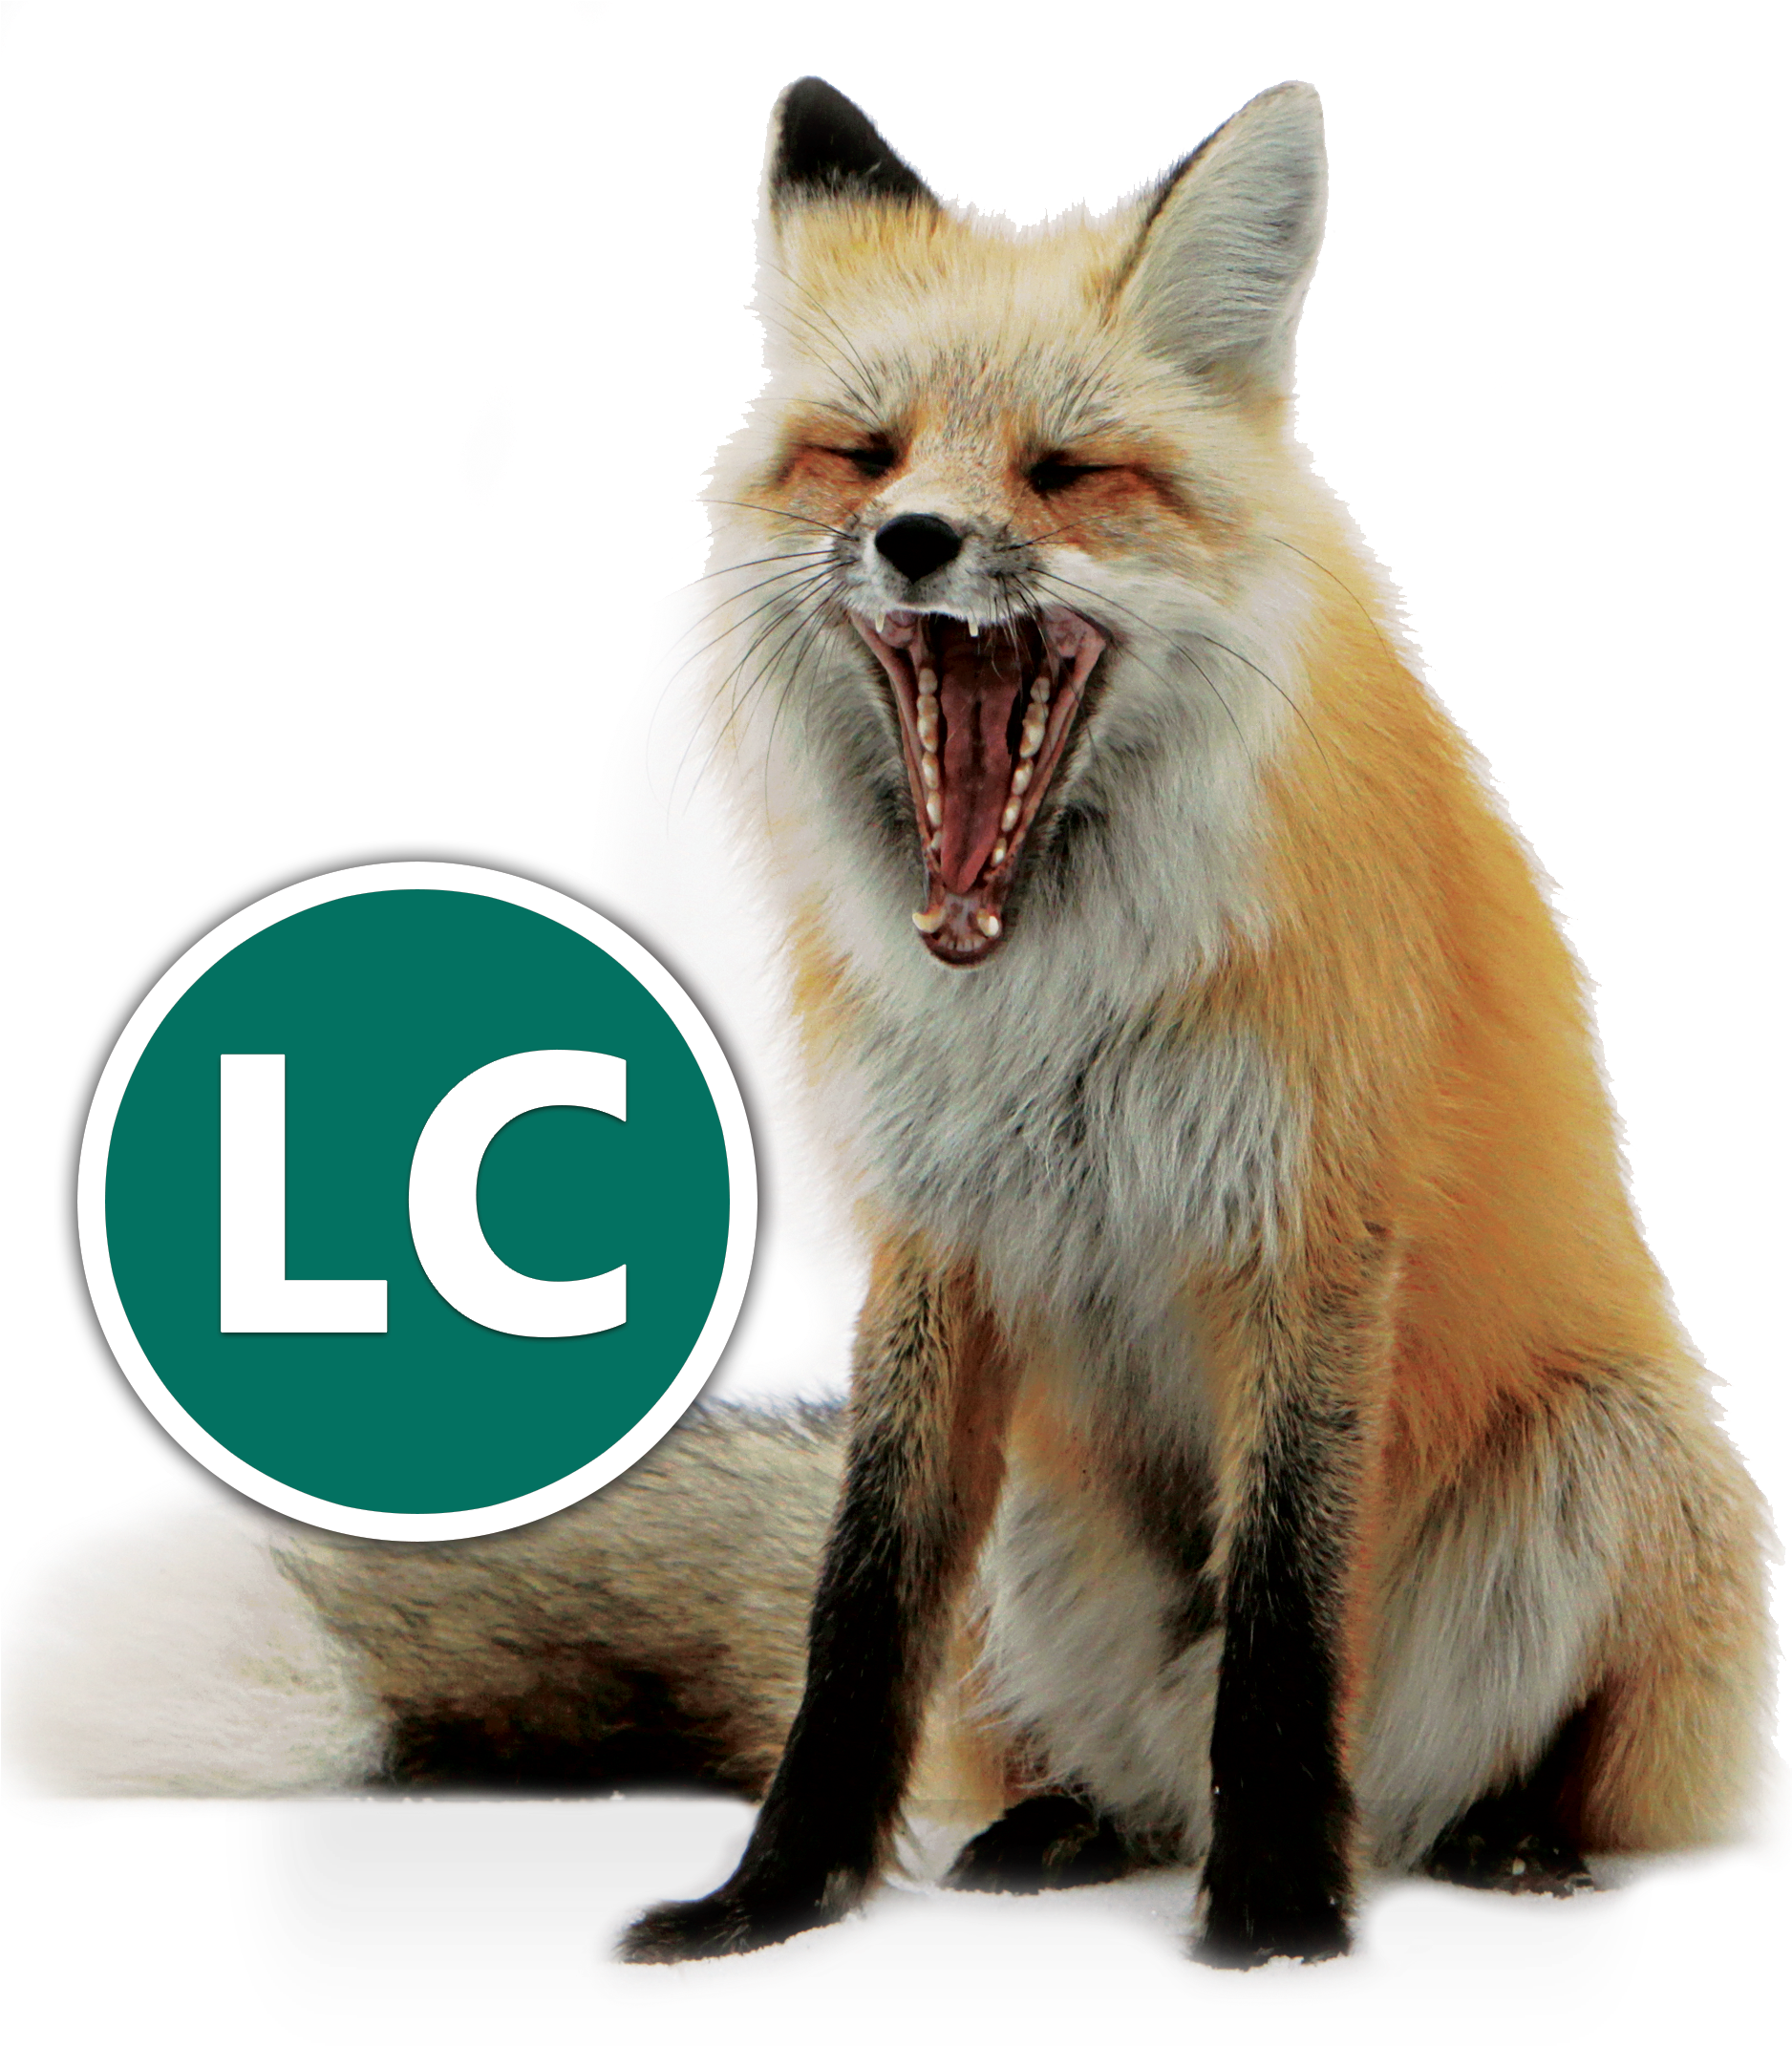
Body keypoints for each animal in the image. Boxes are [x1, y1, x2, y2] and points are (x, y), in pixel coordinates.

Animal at [595, 73, 1791, 1974]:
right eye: (867, 456)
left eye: (1067, 473)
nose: (915, 542)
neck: (1053, 994)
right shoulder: (937, 1242)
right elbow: (857, 1615)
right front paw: (770, 1902)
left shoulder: (1309, 1226)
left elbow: (1288, 1619)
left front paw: (1283, 1917)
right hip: (1039, 1529)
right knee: (1132, 1761)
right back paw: (1067, 1824)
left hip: (1617, 1455)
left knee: (1502, 1761)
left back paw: (1502, 1838)